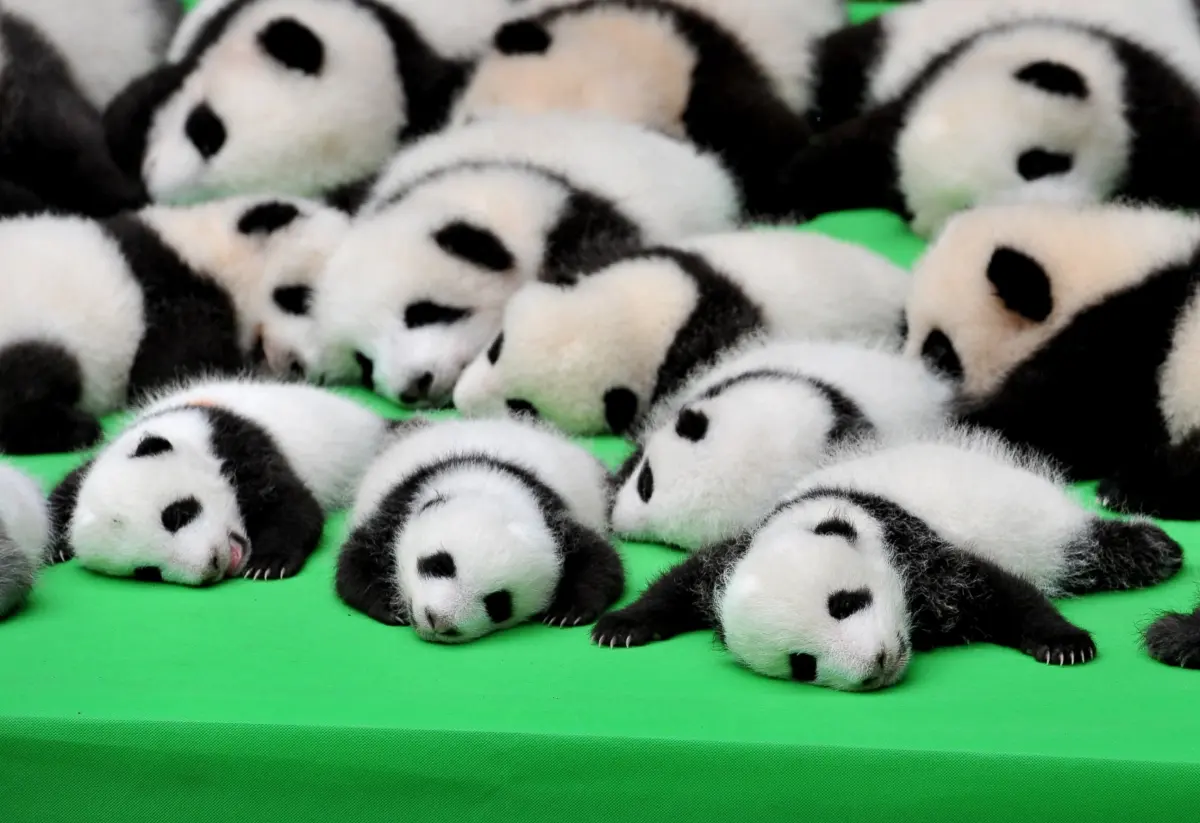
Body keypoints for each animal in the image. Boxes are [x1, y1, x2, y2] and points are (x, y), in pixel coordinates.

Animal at [46, 377, 391, 585]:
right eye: (147, 573)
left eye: (177, 515)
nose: (212, 565)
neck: (181, 425)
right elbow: (69, 488)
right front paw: (52, 547)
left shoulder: (238, 443)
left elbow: (293, 504)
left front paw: (268, 563)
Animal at [336, 417, 625, 642]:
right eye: (439, 565)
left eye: (498, 604)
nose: (437, 620)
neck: (488, 481)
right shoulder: (400, 503)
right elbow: (355, 561)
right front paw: (390, 606)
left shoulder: (556, 517)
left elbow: (603, 562)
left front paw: (567, 611)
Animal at [592, 429, 1184, 691]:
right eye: (802, 664)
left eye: (845, 604)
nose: (875, 666)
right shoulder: (739, 552)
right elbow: (686, 578)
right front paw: (622, 625)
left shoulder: (917, 546)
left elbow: (1001, 589)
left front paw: (1063, 643)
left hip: (1032, 519)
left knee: (1082, 547)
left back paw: (1157, 547)